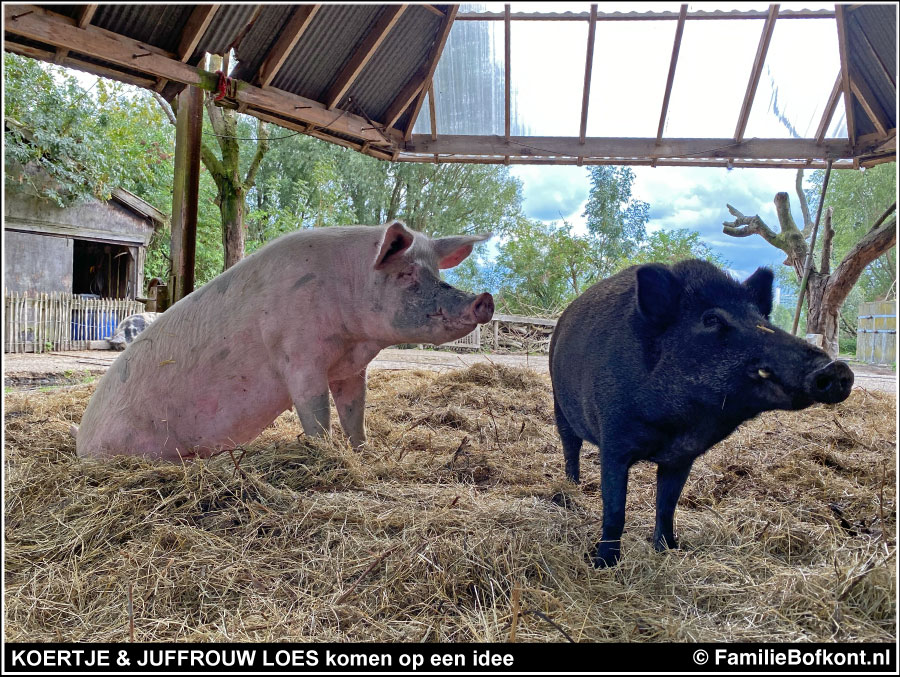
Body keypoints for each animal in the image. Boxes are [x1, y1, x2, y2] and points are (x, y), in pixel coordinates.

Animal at [75, 222, 492, 460]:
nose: (484, 299)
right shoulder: (299, 357)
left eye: (436, 272)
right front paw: (324, 453)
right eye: (406, 274)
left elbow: (354, 413)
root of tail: (80, 442)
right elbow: (316, 413)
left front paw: (364, 453)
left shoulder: (351, 368)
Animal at [548, 258, 852, 564]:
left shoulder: (682, 457)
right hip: (558, 403)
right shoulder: (613, 442)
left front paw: (669, 549)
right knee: (570, 447)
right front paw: (604, 564)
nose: (837, 368)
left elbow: (667, 505)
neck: (676, 426)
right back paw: (570, 491)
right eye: (711, 319)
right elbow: (614, 511)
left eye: (762, 319)